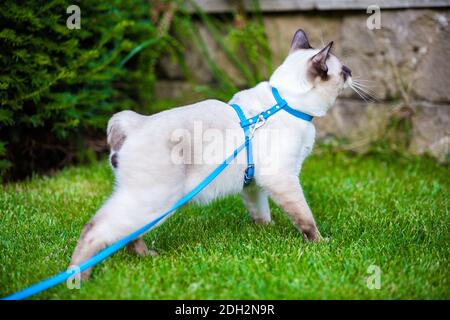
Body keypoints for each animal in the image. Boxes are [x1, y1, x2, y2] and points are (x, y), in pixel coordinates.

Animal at [70, 28, 352, 278]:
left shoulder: (254, 184)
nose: (351, 73)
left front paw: (266, 232)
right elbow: (305, 218)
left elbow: (261, 212)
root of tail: (134, 124)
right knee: (95, 230)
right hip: (155, 202)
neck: (287, 102)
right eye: (344, 70)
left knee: (126, 234)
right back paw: (80, 278)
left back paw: (147, 256)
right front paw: (320, 243)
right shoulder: (282, 178)